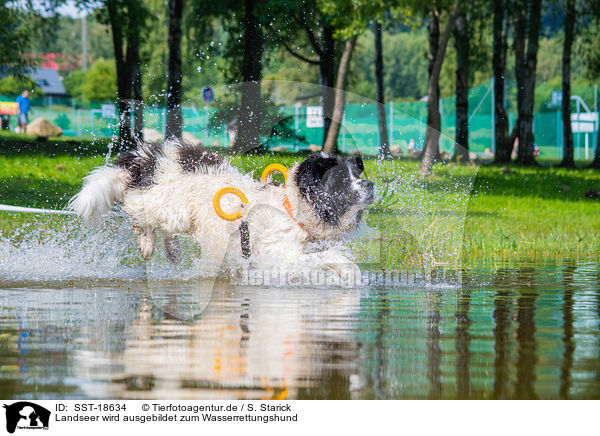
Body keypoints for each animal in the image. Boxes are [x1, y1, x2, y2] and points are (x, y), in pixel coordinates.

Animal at [69, 140, 376, 276]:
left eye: (357, 174)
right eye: (341, 180)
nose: (371, 184)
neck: (292, 210)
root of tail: (144, 162)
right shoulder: (279, 257)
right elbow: (334, 258)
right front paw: (350, 275)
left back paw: (172, 250)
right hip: (165, 202)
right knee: (138, 212)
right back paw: (147, 243)